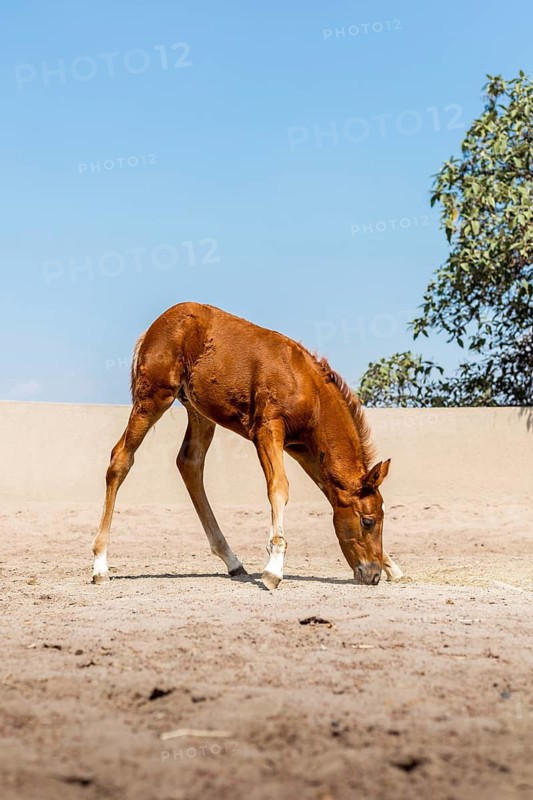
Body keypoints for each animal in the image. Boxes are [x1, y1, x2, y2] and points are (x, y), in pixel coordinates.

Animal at [92, 302, 403, 589]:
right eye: (367, 521)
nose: (372, 575)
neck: (307, 388)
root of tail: (151, 330)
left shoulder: (302, 447)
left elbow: (329, 491)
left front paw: (393, 567)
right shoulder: (267, 429)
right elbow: (279, 487)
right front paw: (273, 569)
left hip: (198, 411)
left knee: (189, 464)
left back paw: (232, 560)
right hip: (154, 397)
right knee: (121, 458)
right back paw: (100, 565)